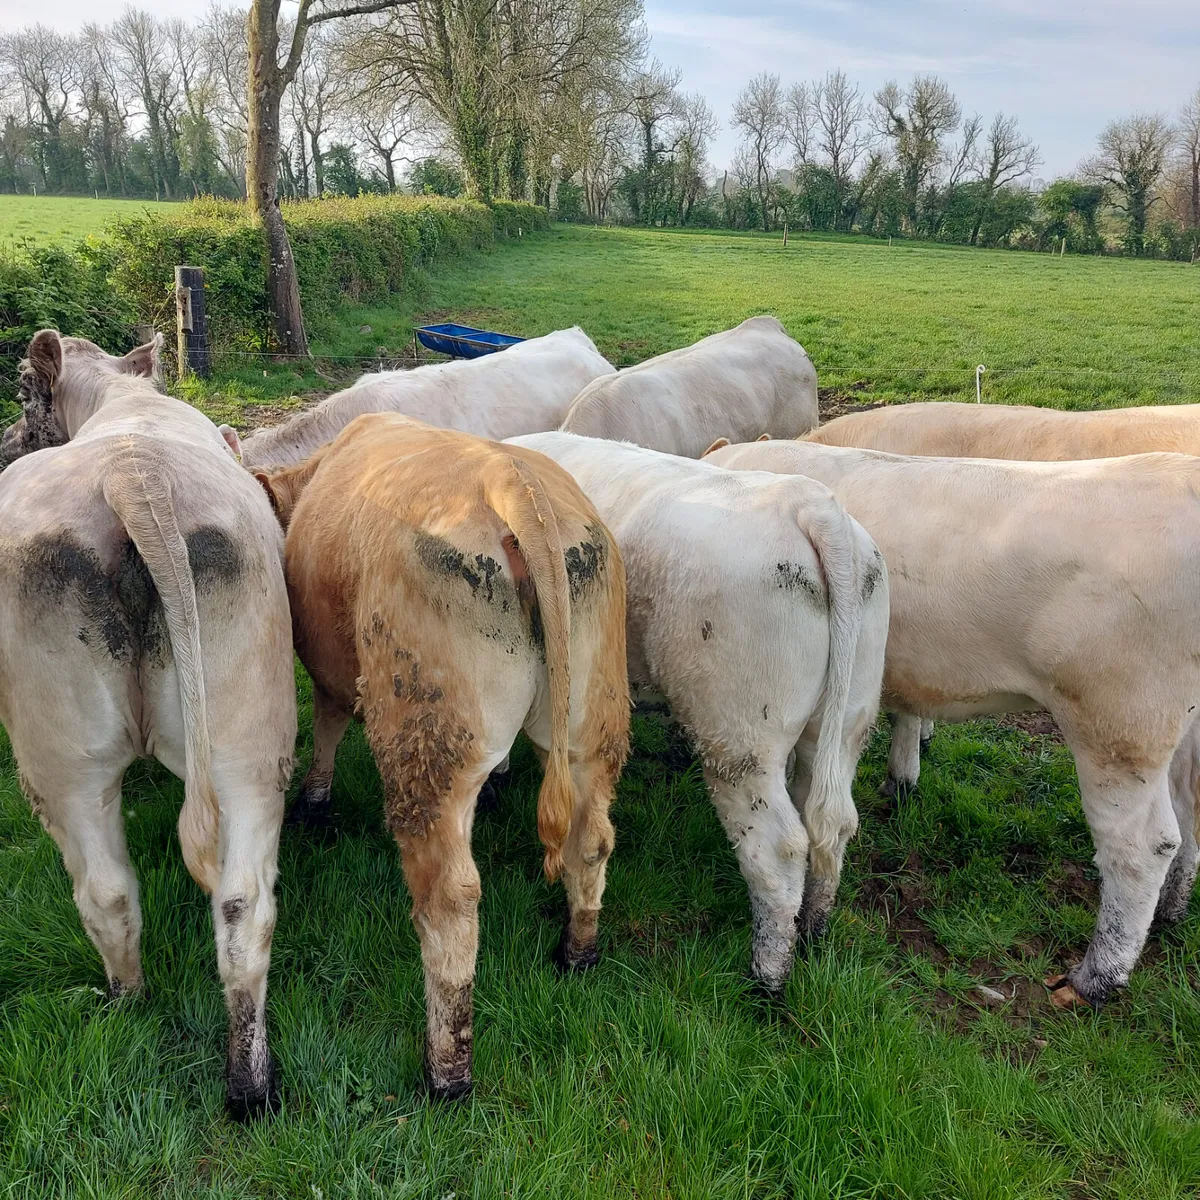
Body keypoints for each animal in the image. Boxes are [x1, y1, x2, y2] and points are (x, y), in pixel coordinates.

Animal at [0, 330, 297, 1119]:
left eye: (22, 391)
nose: (8, 438)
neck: (123, 401)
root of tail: (134, 476)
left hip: (59, 762)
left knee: (102, 890)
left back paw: (128, 1004)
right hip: (244, 745)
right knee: (235, 904)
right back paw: (246, 1083)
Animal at [254, 414, 629, 1099]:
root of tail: (513, 480)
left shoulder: (328, 665)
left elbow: (327, 725)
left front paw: (314, 803)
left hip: (425, 740)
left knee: (450, 901)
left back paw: (446, 1072)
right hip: (596, 720)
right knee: (591, 840)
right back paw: (577, 952)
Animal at [506, 432, 888, 991]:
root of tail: (813, 508)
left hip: (738, 735)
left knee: (778, 848)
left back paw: (768, 977)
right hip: (847, 716)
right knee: (832, 819)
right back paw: (814, 927)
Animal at [704, 437, 1200, 1011]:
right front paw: (904, 775)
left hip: (1121, 723)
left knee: (1141, 846)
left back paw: (1096, 977)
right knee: (1190, 812)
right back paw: (1171, 911)